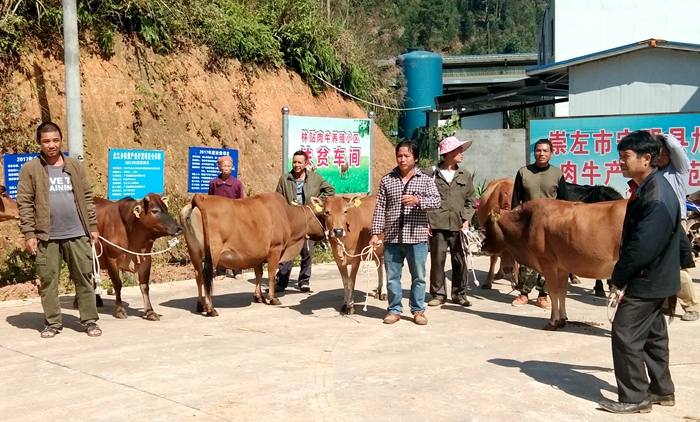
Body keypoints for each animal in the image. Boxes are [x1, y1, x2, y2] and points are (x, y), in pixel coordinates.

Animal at [179, 193, 324, 314]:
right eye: (323, 215)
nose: (325, 233)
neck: (287, 216)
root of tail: (201, 197)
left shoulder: (257, 255)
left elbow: (259, 274)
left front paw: (258, 297)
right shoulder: (275, 249)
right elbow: (271, 275)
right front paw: (273, 298)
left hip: (194, 252)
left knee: (198, 275)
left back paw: (200, 305)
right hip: (213, 252)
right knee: (206, 276)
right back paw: (210, 309)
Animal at [484, 198, 628, 330]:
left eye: (487, 226)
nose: (483, 247)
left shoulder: (547, 263)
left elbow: (553, 293)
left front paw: (553, 321)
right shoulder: (562, 268)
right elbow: (562, 292)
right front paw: (563, 319)